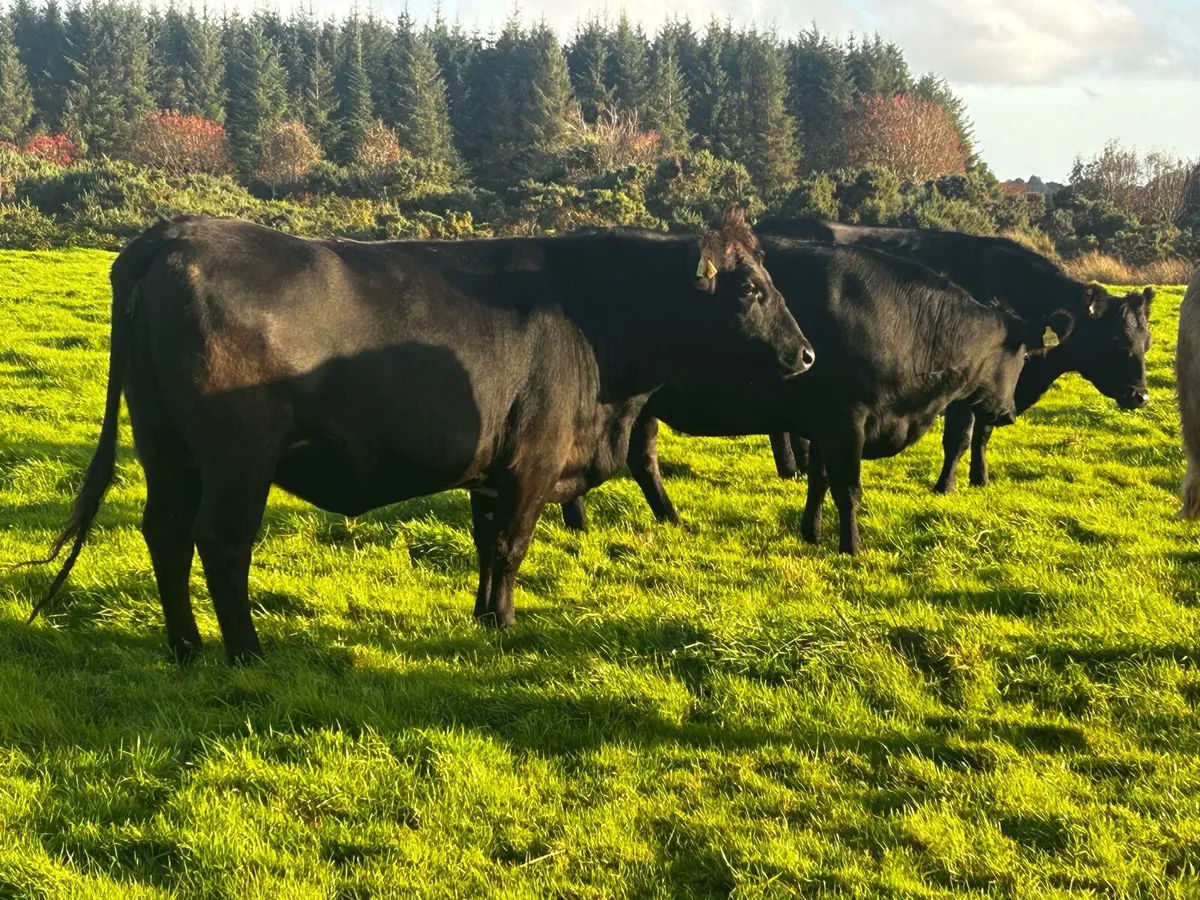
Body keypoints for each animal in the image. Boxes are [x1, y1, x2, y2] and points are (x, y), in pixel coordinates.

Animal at [28, 212, 813, 664]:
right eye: (751, 290)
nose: (806, 355)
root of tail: (171, 236)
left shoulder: (492, 469)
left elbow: (487, 546)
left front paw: (484, 617)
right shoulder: (532, 463)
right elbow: (512, 546)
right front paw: (504, 627)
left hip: (164, 445)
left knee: (163, 531)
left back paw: (186, 646)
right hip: (236, 457)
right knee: (220, 542)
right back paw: (245, 652)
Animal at [560, 238, 1038, 554]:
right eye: (1022, 356)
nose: (1010, 412)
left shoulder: (823, 424)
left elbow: (818, 481)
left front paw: (812, 532)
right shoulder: (845, 420)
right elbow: (848, 488)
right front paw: (851, 547)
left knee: (643, 461)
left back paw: (667, 520)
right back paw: (580, 522)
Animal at [754, 218, 1153, 493]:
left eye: (1146, 341)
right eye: (1116, 340)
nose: (1140, 396)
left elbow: (983, 434)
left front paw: (981, 479)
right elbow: (959, 438)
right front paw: (945, 487)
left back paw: (794, 469)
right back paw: (794, 468)